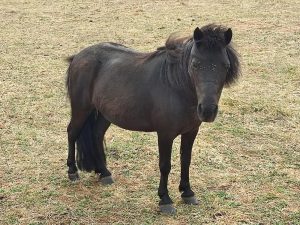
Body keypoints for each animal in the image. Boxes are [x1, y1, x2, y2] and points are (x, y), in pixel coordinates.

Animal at [65, 24, 239, 214]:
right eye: (195, 64)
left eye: (225, 66)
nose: (207, 111)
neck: (176, 86)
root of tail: (78, 56)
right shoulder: (165, 134)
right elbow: (165, 165)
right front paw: (165, 200)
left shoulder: (191, 131)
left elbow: (186, 160)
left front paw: (187, 192)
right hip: (81, 109)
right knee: (72, 132)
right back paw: (72, 171)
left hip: (105, 113)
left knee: (96, 135)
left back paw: (104, 173)